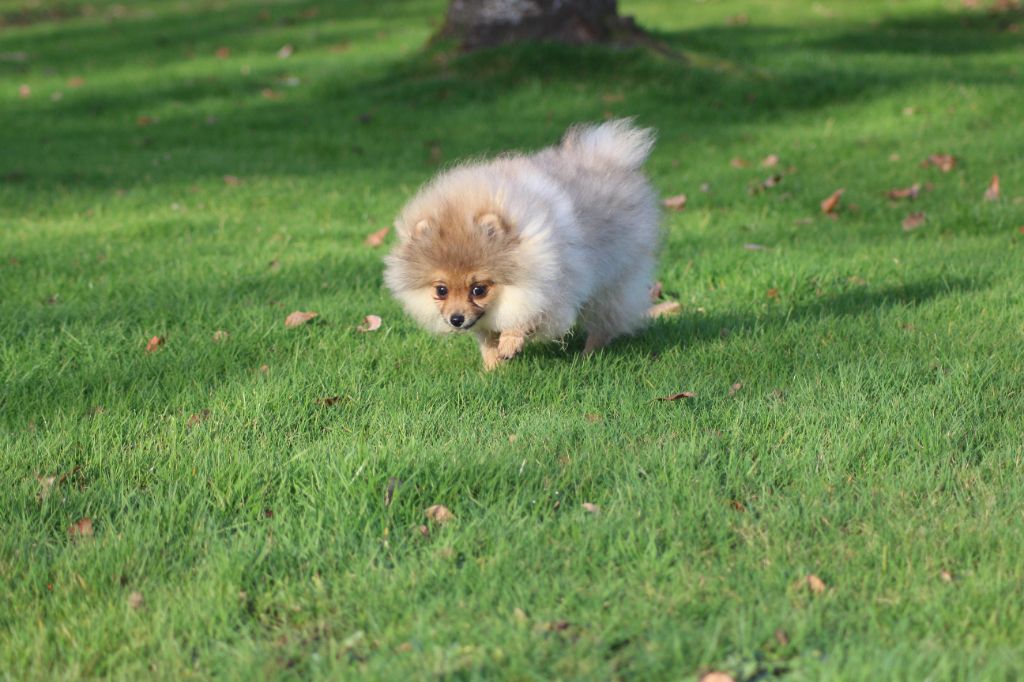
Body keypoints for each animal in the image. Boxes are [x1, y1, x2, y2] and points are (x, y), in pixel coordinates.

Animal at [382, 119, 655, 368]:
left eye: (479, 290)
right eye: (441, 290)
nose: (456, 319)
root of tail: (612, 157)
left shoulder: (551, 291)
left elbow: (527, 318)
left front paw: (510, 343)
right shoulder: (485, 318)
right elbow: (487, 340)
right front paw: (492, 368)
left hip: (616, 280)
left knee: (605, 320)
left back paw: (588, 353)